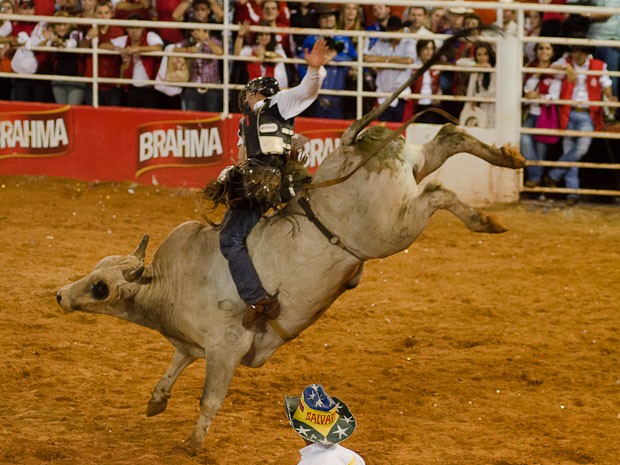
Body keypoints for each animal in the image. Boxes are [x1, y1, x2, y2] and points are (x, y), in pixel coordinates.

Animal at [55, 29, 524, 456]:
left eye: (100, 288)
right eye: (95, 272)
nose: (60, 295)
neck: (166, 285)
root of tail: (350, 146)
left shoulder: (226, 348)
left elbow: (208, 398)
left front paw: (191, 444)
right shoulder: (190, 345)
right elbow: (172, 367)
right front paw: (156, 401)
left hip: (392, 229)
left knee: (439, 192)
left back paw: (485, 219)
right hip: (409, 169)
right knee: (447, 137)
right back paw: (508, 159)